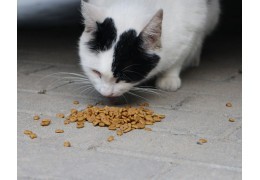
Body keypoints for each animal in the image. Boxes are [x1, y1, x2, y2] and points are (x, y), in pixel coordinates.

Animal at [78, 0, 219, 97]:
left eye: (123, 76)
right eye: (96, 72)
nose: (106, 93)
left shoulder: (192, 26)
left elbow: (180, 57)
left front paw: (169, 77)